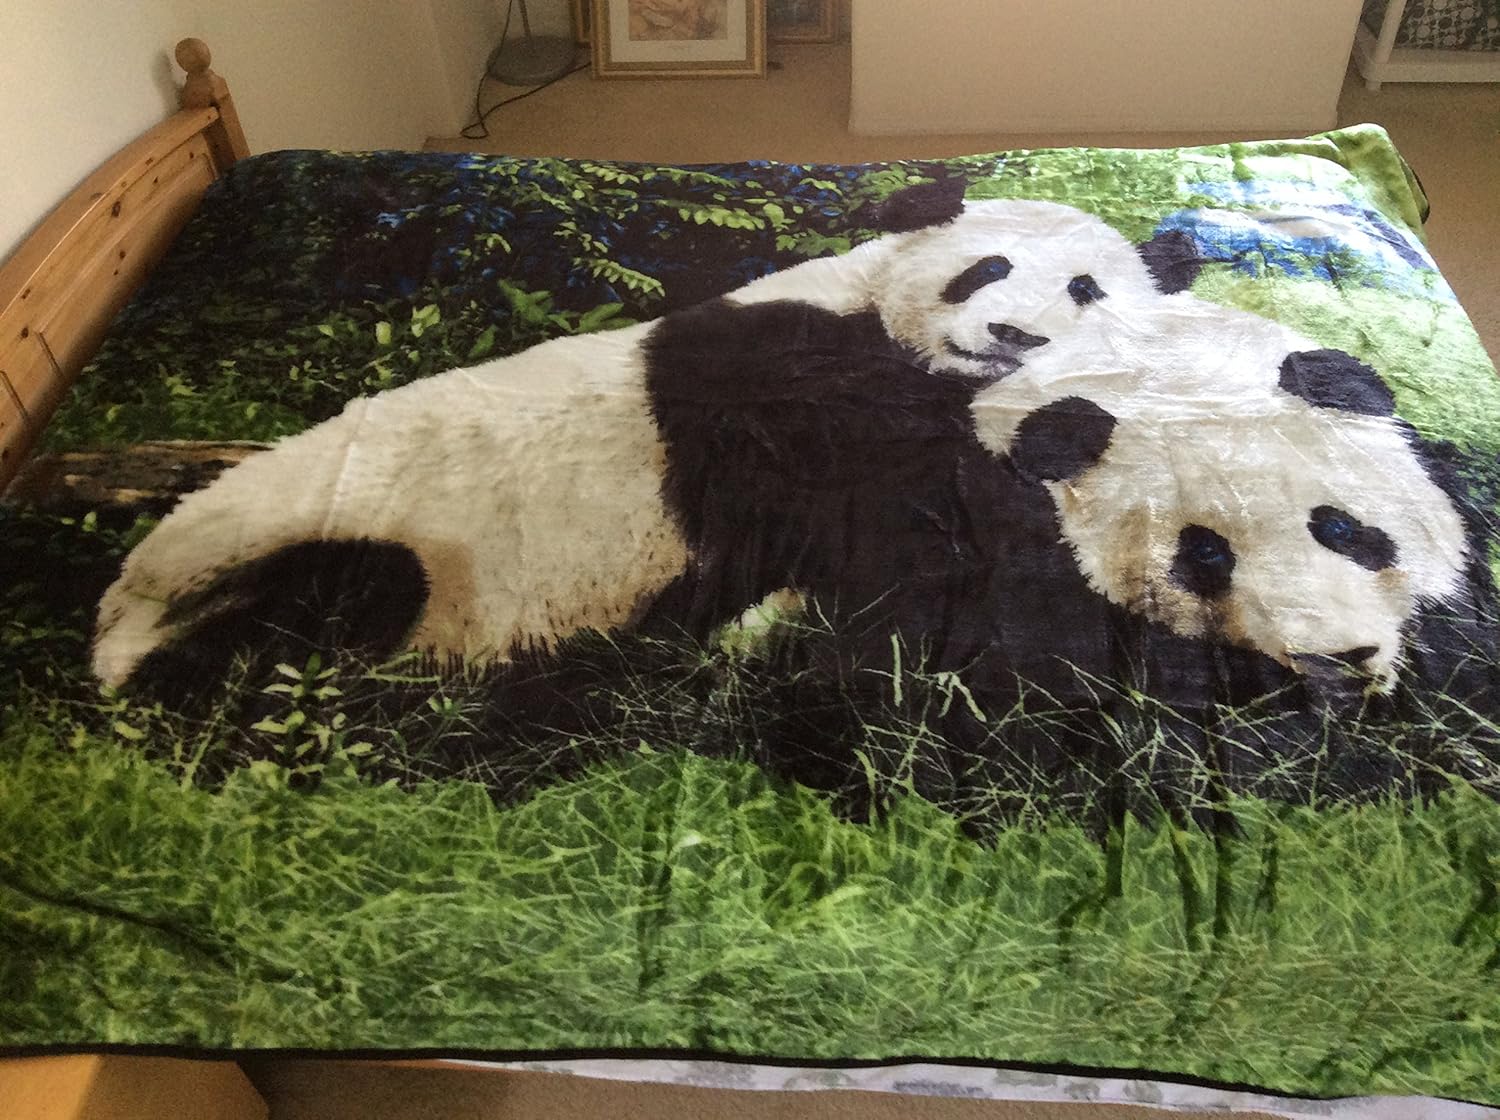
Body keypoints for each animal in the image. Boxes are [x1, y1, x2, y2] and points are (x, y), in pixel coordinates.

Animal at [92, 191, 1203, 692]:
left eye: (1085, 288)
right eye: (986, 269)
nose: (1012, 337)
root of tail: (108, 624)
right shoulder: (776, 380)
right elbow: (903, 530)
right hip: (322, 551)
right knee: (321, 605)